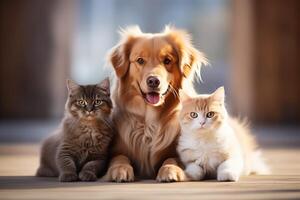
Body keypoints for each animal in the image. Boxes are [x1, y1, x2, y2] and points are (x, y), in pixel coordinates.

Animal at [104, 25, 207, 182]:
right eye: (140, 60)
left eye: (167, 60)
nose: (153, 81)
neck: (149, 122)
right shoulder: (117, 150)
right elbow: (119, 157)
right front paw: (120, 169)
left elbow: (172, 159)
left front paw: (170, 170)